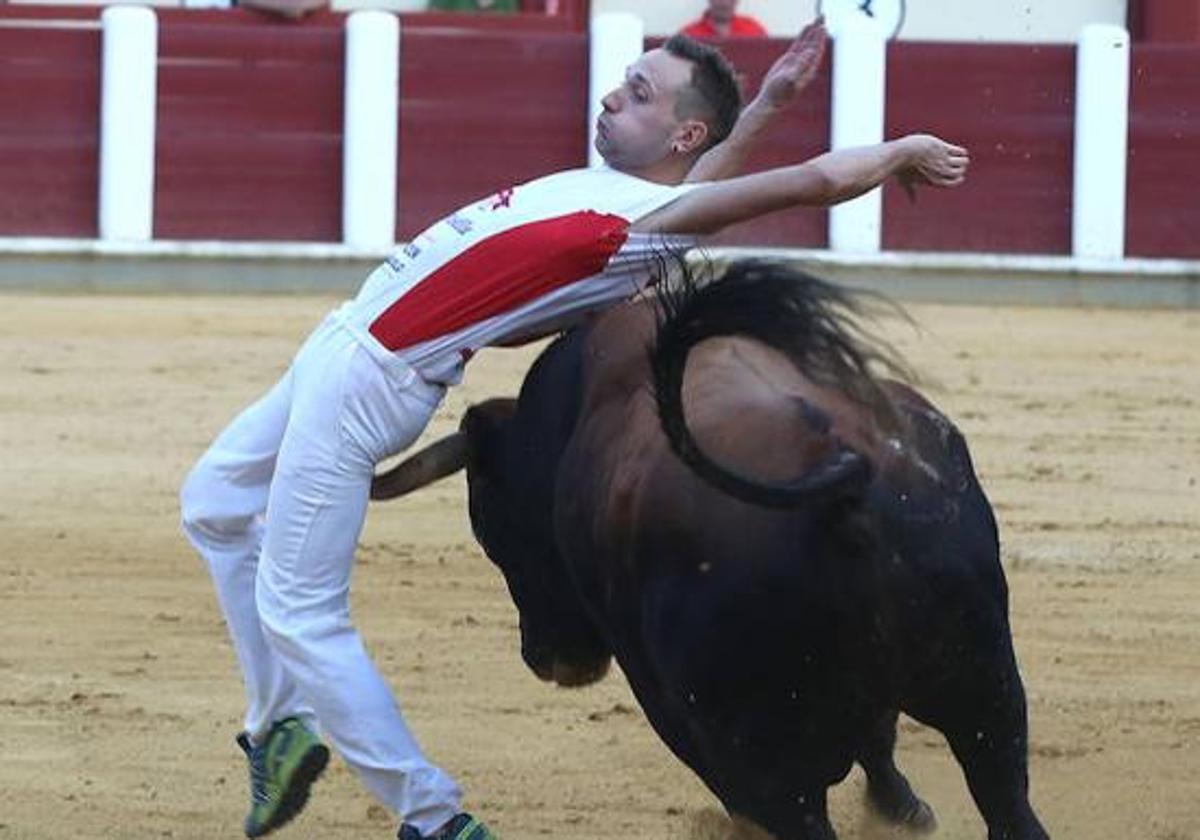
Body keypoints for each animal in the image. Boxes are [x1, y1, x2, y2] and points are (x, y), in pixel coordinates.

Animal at [374, 262, 1051, 840]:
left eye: (490, 529)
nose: (547, 659)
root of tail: (847, 487)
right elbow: (880, 746)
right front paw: (905, 810)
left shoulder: (665, 693)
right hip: (988, 686)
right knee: (1007, 800)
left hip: (763, 744)